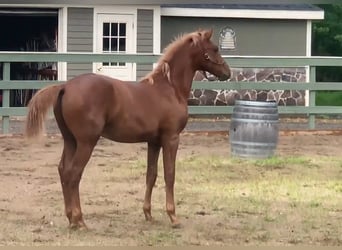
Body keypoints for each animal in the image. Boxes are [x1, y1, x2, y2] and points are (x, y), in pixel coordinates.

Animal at [25, 28, 231, 229]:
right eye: (214, 49)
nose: (227, 72)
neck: (170, 89)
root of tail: (65, 87)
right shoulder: (171, 138)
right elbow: (169, 175)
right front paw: (173, 217)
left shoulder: (154, 142)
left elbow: (151, 175)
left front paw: (148, 214)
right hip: (86, 142)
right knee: (73, 174)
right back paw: (80, 220)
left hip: (70, 141)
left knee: (63, 170)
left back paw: (70, 218)